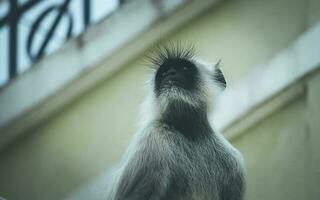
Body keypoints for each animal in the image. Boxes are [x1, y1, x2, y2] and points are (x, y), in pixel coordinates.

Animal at [107, 45, 245, 200]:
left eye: (184, 68)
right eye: (164, 72)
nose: (170, 73)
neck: (189, 131)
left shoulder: (234, 164)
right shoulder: (151, 141)